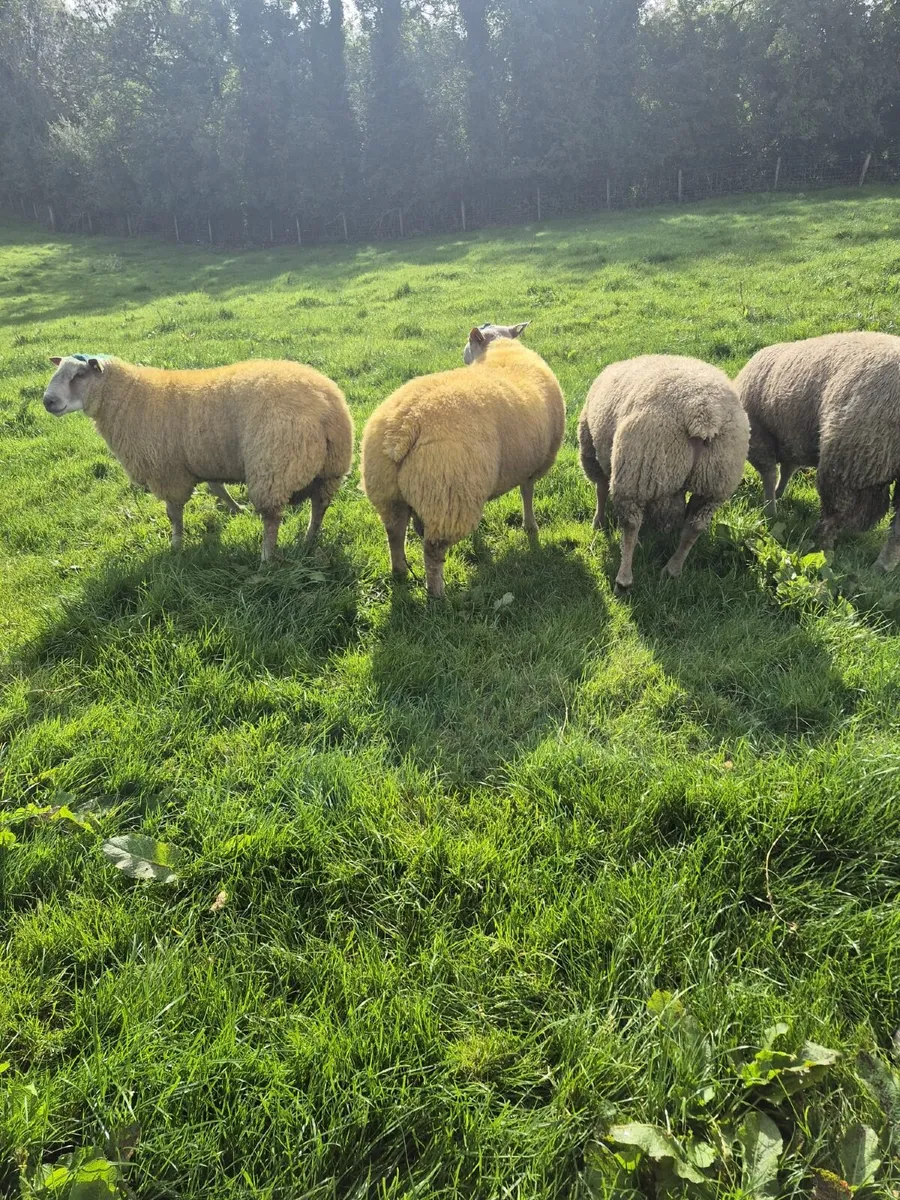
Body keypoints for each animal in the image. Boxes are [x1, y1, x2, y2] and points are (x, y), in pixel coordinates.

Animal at [42, 354, 353, 562]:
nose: (48, 401)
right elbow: (218, 489)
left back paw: (266, 558)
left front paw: (176, 546)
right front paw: (235, 509)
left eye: (79, 376)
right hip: (330, 468)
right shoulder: (205, 460)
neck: (128, 397)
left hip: (274, 466)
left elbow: (174, 514)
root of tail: (326, 405)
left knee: (272, 518)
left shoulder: (168, 473)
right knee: (319, 506)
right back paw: (309, 538)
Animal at [359, 323, 565, 598]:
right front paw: (531, 526)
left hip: (388, 491)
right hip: (448, 493)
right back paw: (437, 594)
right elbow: (527, 493)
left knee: (394, 533)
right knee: (432, 551)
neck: (500, 350)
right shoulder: (531, 465)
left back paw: (400, 571)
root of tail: (403, 425)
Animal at [578, 354, 749, 590]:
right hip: (715, 481)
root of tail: (703, 413)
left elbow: (601, 490)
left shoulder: (592, 453)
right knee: (695, 527)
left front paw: (598, 522)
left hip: (637, 470)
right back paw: (673, 569)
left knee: (631, 525)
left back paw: (624, 578)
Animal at [735, 331, 900, 571]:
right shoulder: (792, 440)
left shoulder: (760, 438)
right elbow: (786, 470)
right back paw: (882, 566)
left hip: (849, 459)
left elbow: (770, 474)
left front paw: (770, 508)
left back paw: (824, 550)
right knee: (896, 530)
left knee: (835, 512)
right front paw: (777, 495)